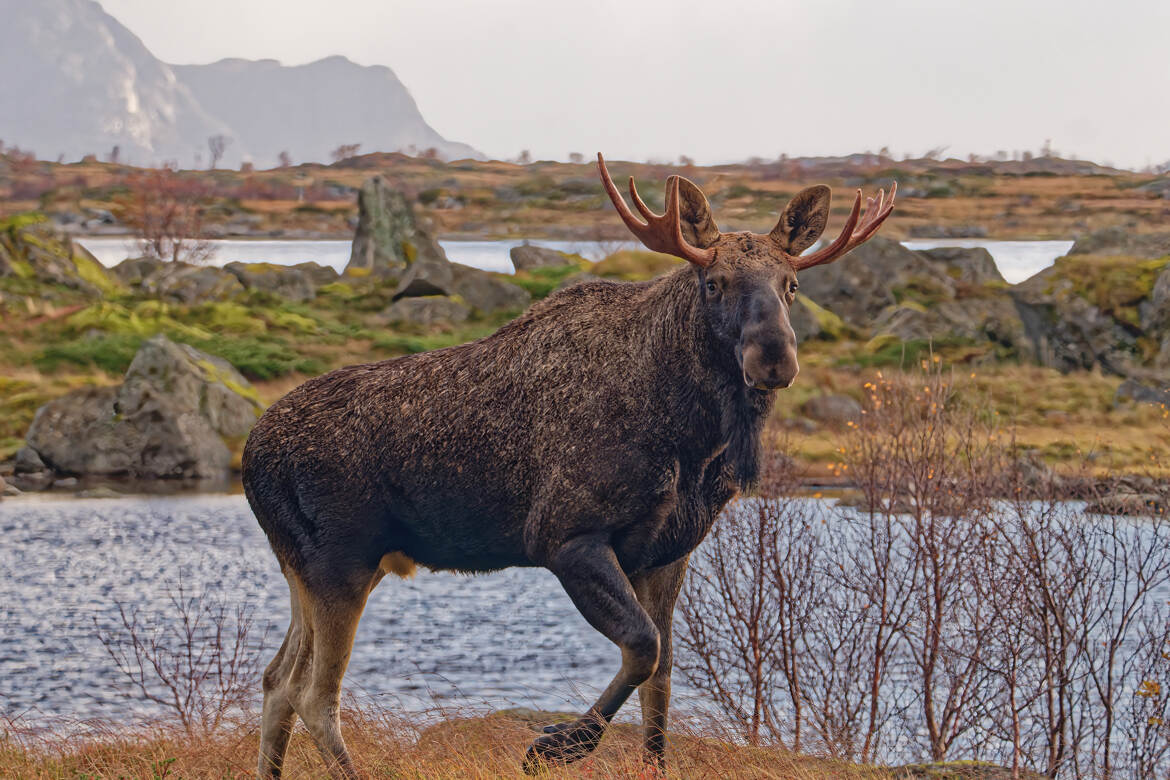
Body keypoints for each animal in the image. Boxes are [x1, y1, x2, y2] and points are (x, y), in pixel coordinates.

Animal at [242, 155, 889, 776]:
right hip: (340, 563)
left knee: (277, 680)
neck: (692, 442)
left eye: (792, 284)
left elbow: (663, 680)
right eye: (714, 282)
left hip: (320, 567)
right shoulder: (566, 536)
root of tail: (250, 457)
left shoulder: (669, 552)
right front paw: (553, 746)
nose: (775, 357)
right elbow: (643, 647)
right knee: (314, 694)